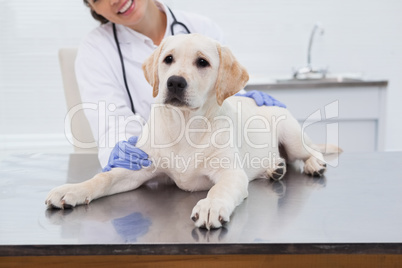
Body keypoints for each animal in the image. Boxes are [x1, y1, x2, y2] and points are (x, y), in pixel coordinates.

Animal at [46, 34, 336, 228]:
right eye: (168, 59)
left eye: (202, 62)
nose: (175, 82)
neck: (184, 126)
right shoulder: (138, 166)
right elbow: (102, 178)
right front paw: (71, 190)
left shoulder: (230, 172)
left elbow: (219, 189)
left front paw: (210, 206)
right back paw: (274, 168)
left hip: (290, 133)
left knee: (308, 151)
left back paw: (313, 164)